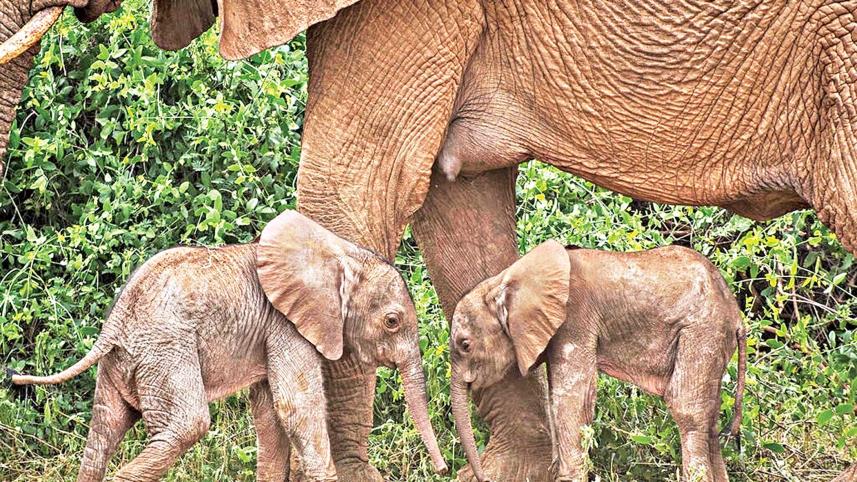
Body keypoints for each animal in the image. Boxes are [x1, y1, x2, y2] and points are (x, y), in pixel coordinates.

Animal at [6, 210, 447, 481]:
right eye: (392, 321)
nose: (443, 469)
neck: (338, 253)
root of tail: (114, 322)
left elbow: (270, 415)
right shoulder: (286, 325)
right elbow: (296, 407)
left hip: (126, 360)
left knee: (103, 430)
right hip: (165, 350)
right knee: (186, 425)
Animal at [449, 240, 748, 482]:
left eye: (465, 345)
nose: (475, 475)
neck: (506, 278)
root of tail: (736, 314)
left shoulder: (574, 319)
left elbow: (570, 400)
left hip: (702, 330)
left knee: (687, 410)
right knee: (710, 420)